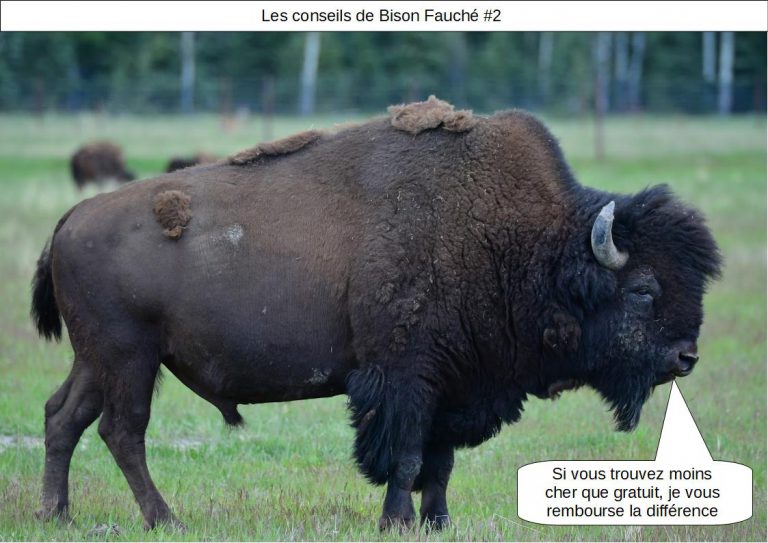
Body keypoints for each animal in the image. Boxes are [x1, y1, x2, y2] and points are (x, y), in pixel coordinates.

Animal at [32, 96, 721, 531]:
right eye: (643, 290)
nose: (686, 357)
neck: (522, 241)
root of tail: (69, 220)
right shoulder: (405, 379)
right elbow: (407, 457)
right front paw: (397, 521)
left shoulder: (455, 385)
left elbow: (440, 463)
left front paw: (439, 522)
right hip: (130, 358)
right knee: (122, 431)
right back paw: (164, 519)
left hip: (96, 359)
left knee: (64, 417)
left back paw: (57, 514)